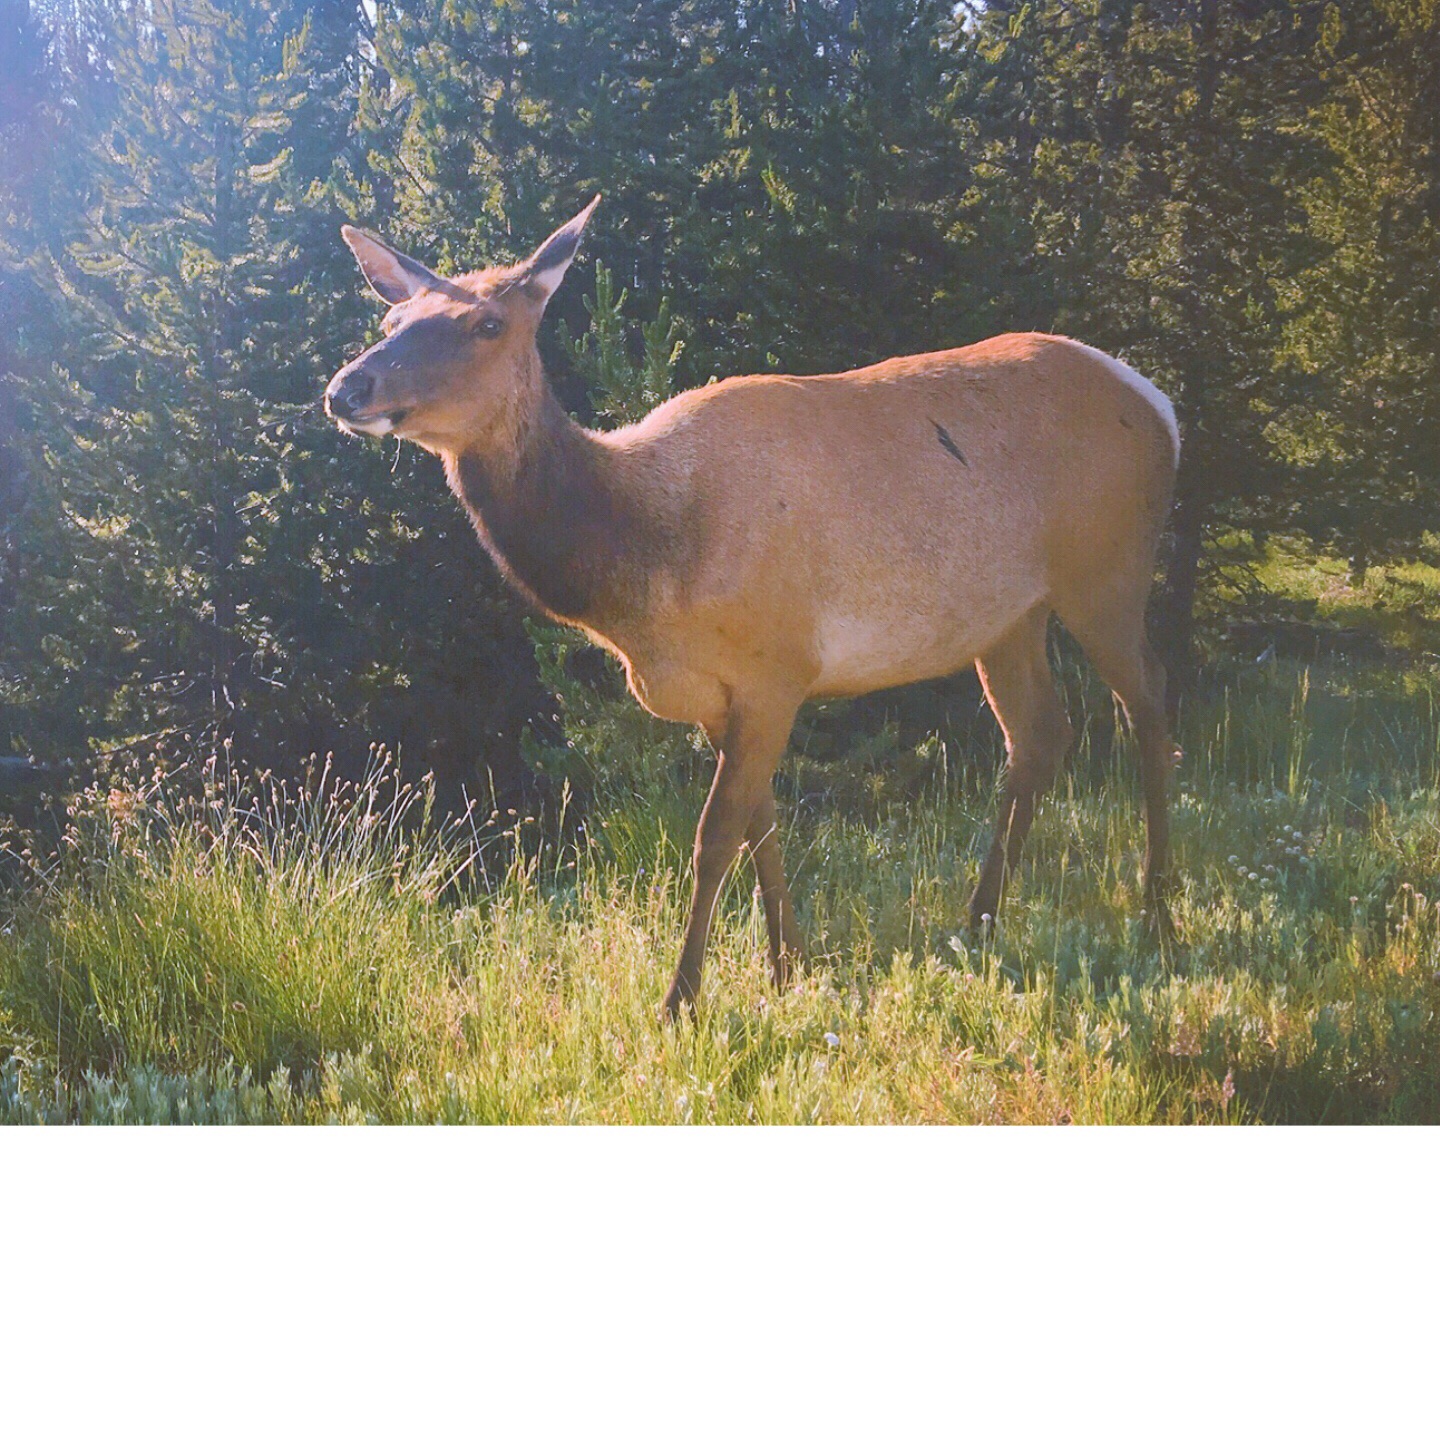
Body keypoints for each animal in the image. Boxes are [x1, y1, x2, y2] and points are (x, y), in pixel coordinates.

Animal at [329, 200, 1180, 1013]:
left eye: (485, 323)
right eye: (391, 324)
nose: (346, 388)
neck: (648, 564)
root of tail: (1159, 405)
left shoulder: (779, 667)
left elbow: (714, 835)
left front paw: (681, 1000)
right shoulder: (722, 694)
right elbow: (760, 822)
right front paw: (787, 965)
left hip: (1109, 568)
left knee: (1149, 708)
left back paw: (1156, 913)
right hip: (1008, 615)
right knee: (1040, 734)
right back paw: (978, 921)